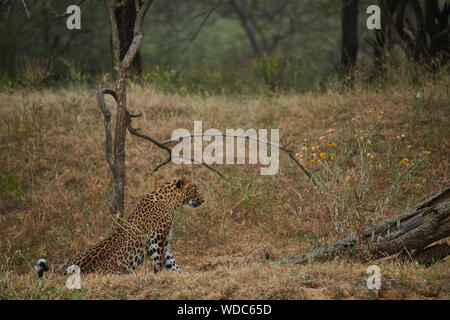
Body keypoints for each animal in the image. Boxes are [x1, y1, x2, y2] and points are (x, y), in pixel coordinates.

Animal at [34, 178, 205, 278]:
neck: (171, 201)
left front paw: (181, 276)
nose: (203, 200)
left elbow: (172, 263)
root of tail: (61, 273)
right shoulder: (156, 241)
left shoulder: (165, 242)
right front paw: (159, 276)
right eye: (195, 190)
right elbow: (159, 261)